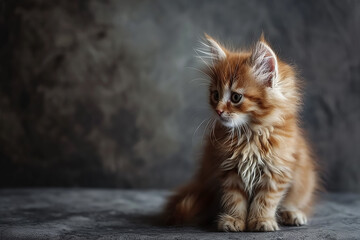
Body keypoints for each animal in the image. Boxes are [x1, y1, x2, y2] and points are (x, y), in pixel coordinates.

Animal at [164, 33, 318, 231]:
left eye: (236, 97)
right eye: (215, 95)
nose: (219, 111)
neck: (250, 136)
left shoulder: (277, 171)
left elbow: (265, 200)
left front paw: (261, 220)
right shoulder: (229, 171)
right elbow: (234, 199)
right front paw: (233, 220)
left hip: (304, 180)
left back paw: (292, 213)